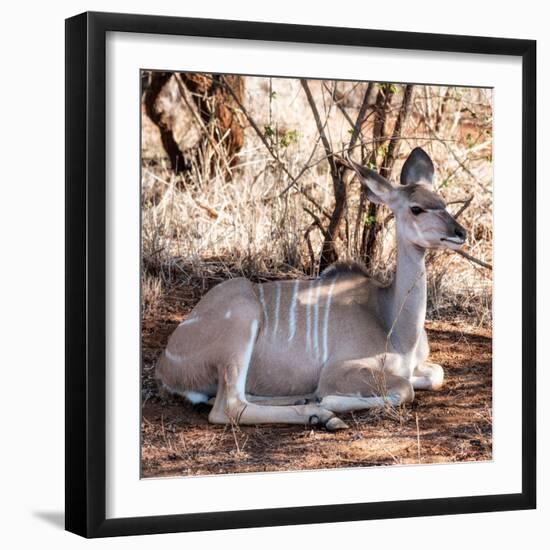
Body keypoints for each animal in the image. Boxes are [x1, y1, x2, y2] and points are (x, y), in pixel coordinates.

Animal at [156, 150, 470, 432]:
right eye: (416, 208)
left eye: (443, 202)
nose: (460, 233)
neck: (393, 321)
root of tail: (167, 365)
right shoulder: (339, 371)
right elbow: (403, 389)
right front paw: (328, 401)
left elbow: (435, 374)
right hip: (241, 324)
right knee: (228, 406)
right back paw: (322, 415)